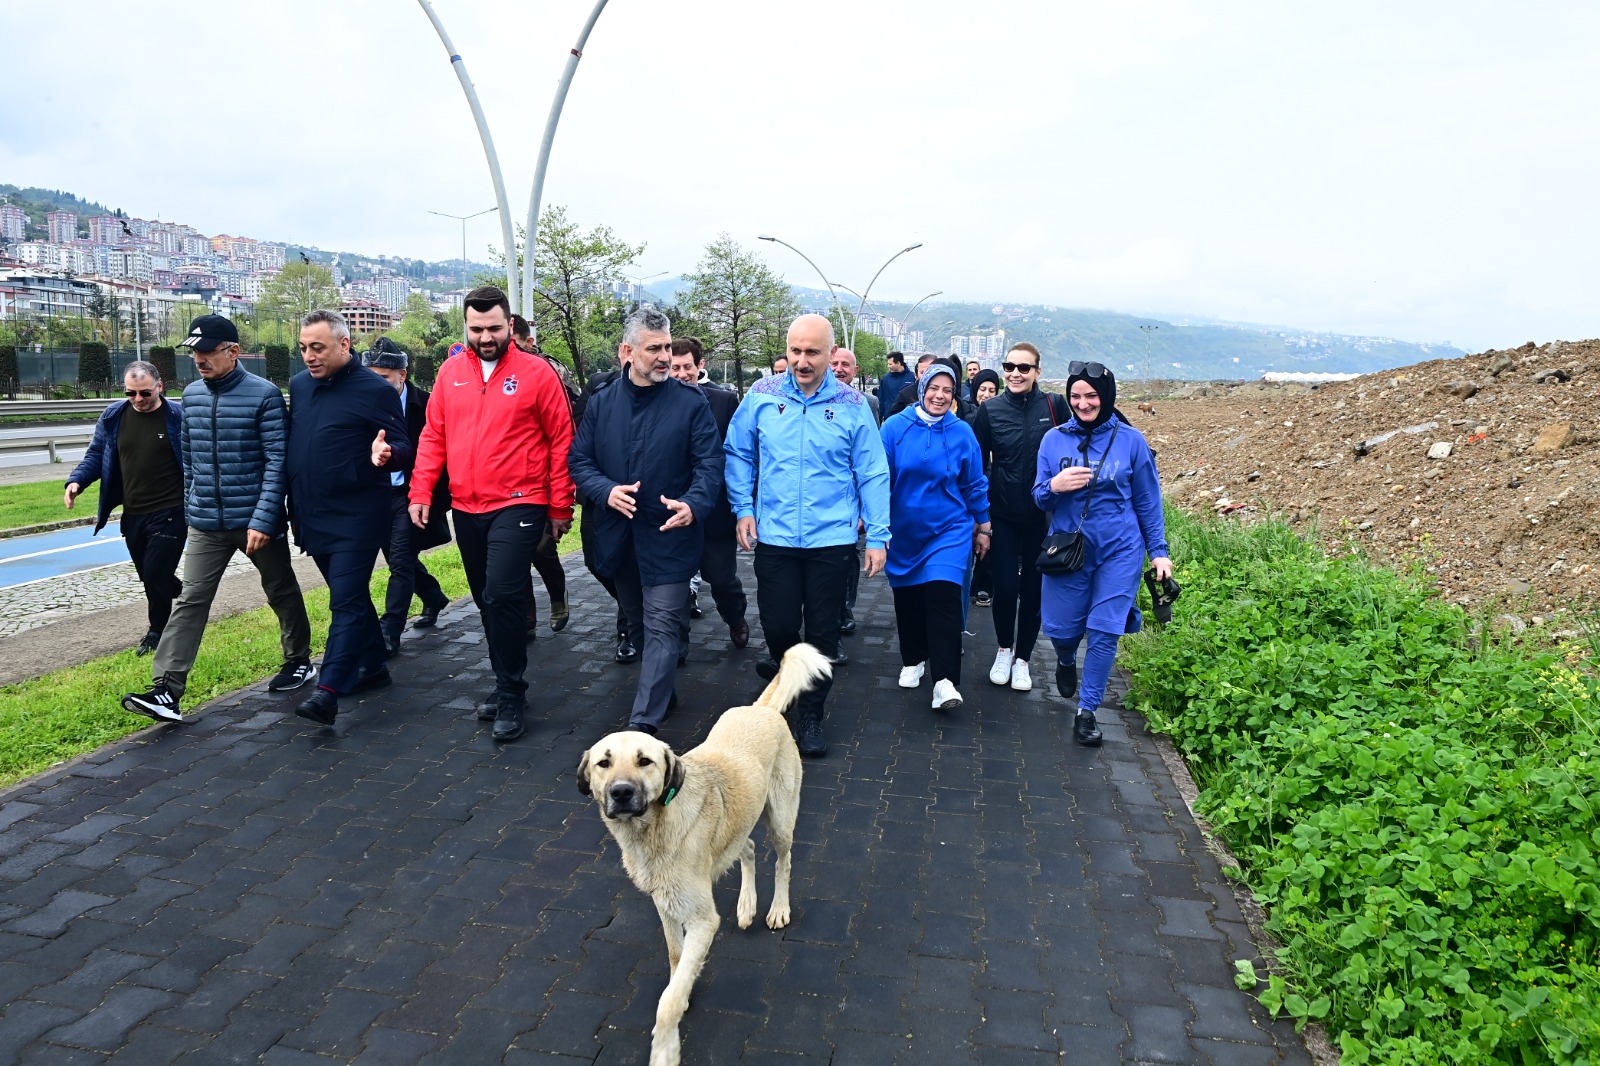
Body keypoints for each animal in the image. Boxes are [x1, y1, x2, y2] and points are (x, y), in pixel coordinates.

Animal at [576, 640, 832, 1062]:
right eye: (603, 763)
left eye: (645, 761)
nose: (621, 793)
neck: (654, 828)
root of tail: (760, 709)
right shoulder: (665, 905)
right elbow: (676, 959)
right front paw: (684, 987)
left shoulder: (702, 919)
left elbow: (666, 1003)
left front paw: (665, 1048)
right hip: (739, 824)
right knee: (747, 847)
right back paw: (746, 904)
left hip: (780, 818)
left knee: (783, 861)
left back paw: (777, 907)